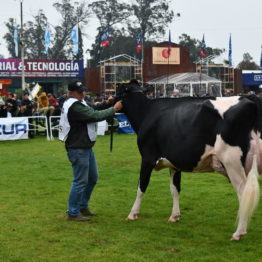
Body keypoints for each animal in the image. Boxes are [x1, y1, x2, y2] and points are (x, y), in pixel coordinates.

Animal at [116, 79, 262, 239]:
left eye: (117, 91)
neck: (146, 113)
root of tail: (250, 99)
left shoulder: (147, 159)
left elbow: (141, 187)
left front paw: (132, 214)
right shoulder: (174, 164)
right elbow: (175, 189)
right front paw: (175, 216)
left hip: (232, 162)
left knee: (243, 194)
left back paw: (239, 232)